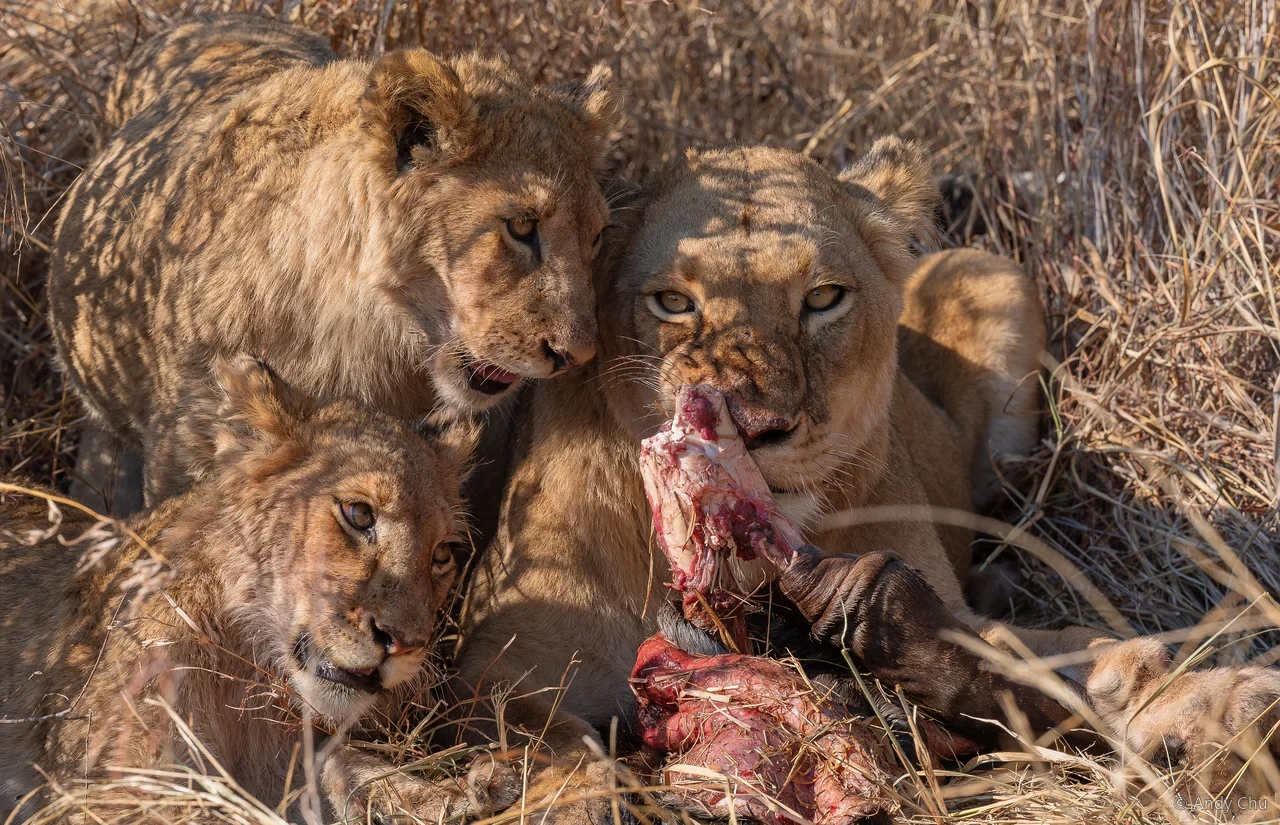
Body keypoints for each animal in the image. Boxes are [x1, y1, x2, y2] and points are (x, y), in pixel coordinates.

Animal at [0, 356, 517, 823]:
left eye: (442, 554)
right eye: (358, 514)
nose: (405, 644)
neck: (245, 667)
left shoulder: (288, 760)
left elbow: (353, 769)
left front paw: (464, 790)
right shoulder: (110, 786)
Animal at [453, 141, 1280, 821]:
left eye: (823, 298)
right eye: (674, 302)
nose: (757, 428)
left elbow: (1089, 650)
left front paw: (1214, 708)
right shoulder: (494, 658)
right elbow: (551, 732)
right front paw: (560, 797)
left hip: (990, 272)